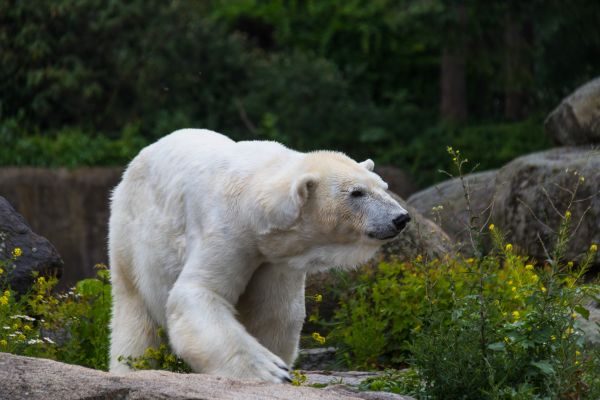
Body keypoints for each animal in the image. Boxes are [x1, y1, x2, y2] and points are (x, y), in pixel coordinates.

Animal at [108, 130, 410, 382]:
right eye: (356, 192)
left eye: (382, 186)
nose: (401, 218)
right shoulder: (228, 231)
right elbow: (198, 293)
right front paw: (271, 371)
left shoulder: (275, 258)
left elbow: (274, 314)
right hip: (131, 232)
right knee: (134, 313)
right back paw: (129, 368)